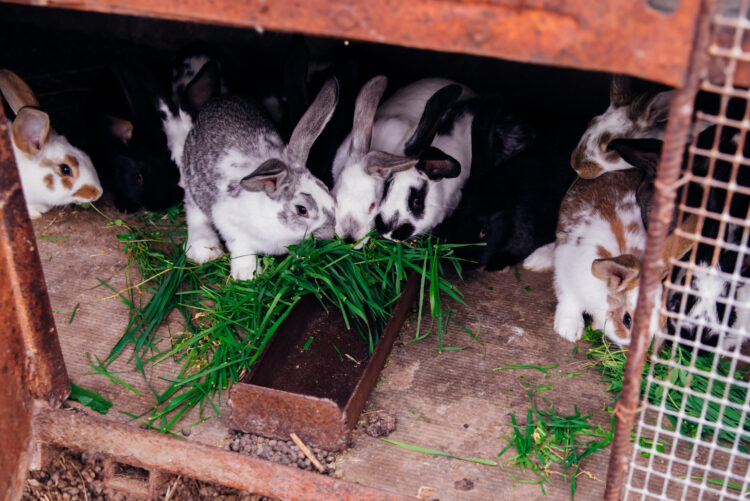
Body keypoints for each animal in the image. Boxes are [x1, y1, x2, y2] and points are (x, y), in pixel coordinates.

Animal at [180, 78, 339, 281]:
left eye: (327, 190)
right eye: (302, 210)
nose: (330, 233)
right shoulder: (230, 225)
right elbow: (242, 248)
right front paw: (249, 275)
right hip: (192, 185)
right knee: (194, 214)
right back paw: (205, 250)